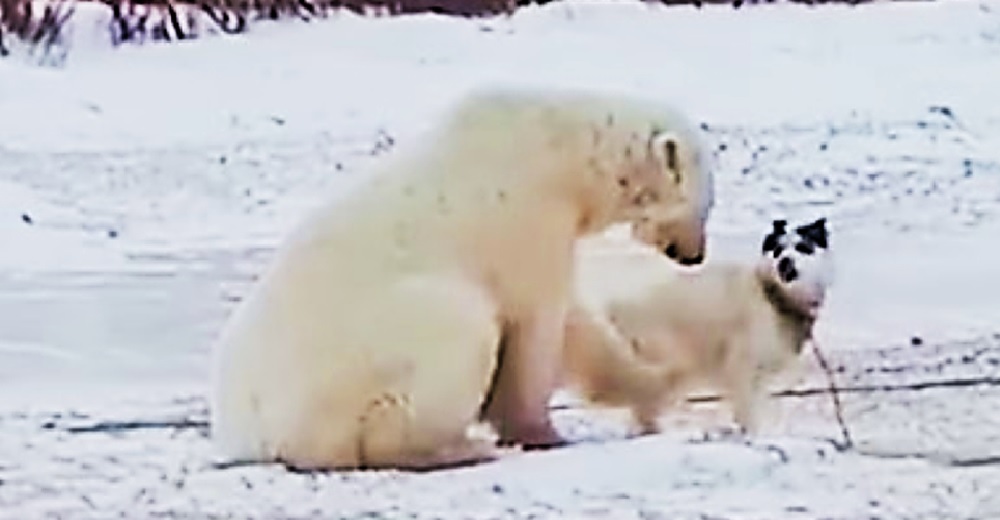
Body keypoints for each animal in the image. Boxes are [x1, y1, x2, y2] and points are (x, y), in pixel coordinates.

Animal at [209, 86, 712, 472]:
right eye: (705, 203)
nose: (694, 255)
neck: (562, 148)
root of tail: (266, 438)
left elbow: (573, 322)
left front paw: (657, 381)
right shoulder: (529, 215)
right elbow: (537, 322)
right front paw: (542, 432)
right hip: (367, 358)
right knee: (456, 331)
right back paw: (461, 447)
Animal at [564, 217, 836, 436]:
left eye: (803, 247)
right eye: (778, 250)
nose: (785, 262)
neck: (771, 294)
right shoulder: (741, 366)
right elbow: (747, 412)